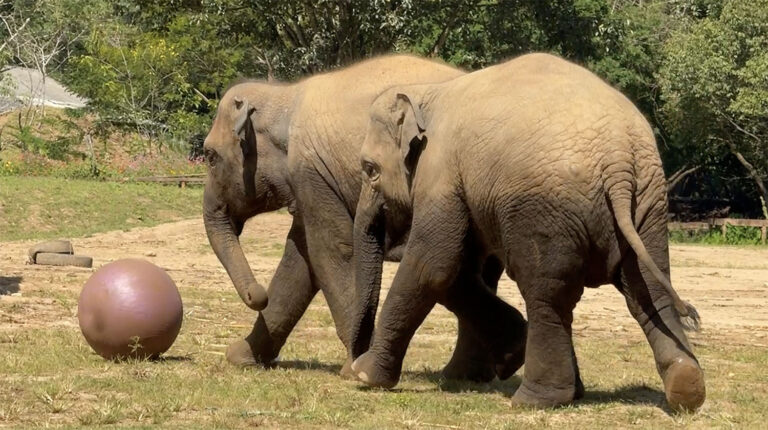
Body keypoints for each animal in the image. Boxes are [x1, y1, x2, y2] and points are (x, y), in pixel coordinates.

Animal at [202, 54, 525, 381]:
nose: (257, 294)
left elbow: (331, 251)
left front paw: (351, 369)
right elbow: (300, 261)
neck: (283, 96)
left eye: (211, 157)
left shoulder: (311, 172)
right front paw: (242, 357)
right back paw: (467, 373)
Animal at [349, 53, 706, 411]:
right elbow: (459, 269)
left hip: (545, 209)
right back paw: (685, 390)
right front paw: (510, 355)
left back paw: (534, 400)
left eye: (370, 169)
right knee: (647, 290)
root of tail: (617, 158)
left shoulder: (441, 173)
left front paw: (365, 375)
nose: (348, 366)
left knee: (545, 294)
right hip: (647, 204)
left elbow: (433, 265)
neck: (427, 92)